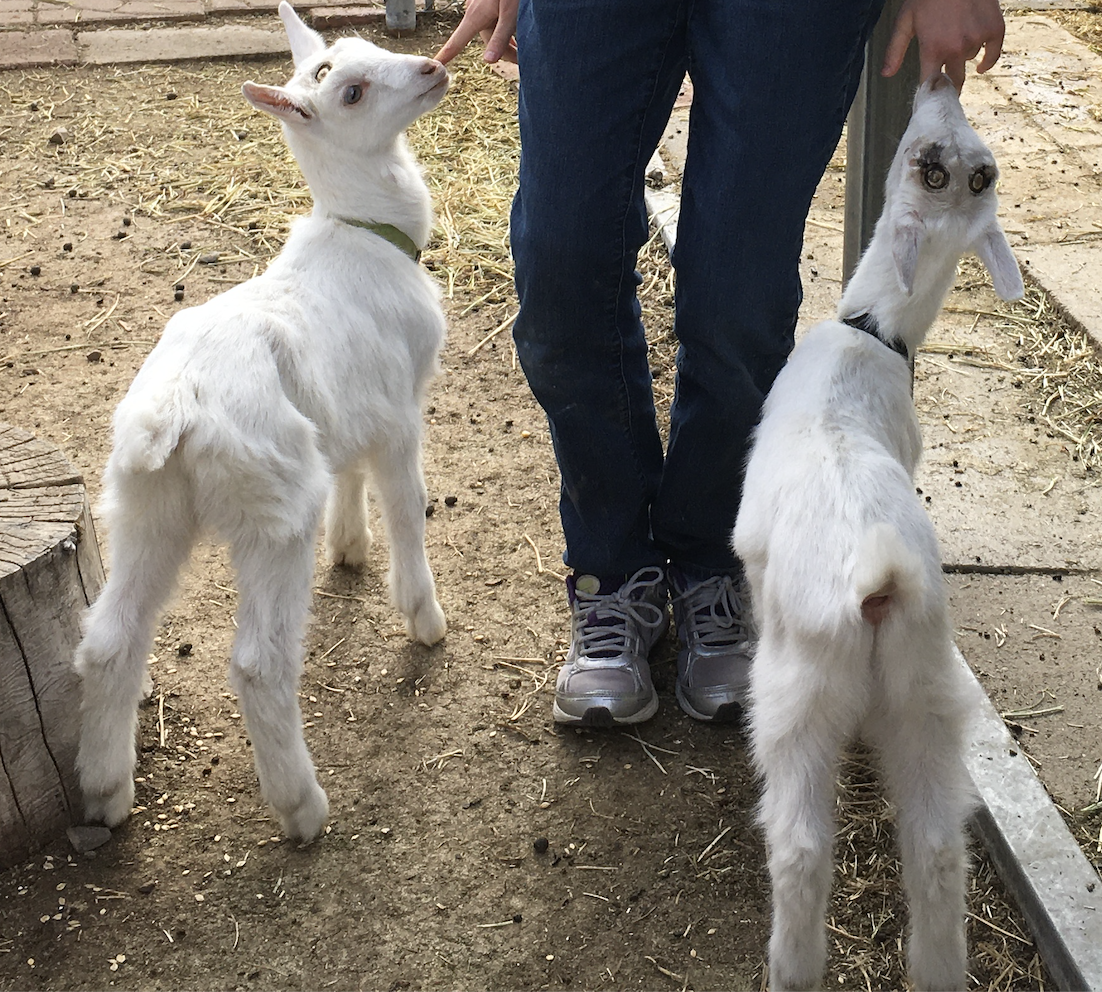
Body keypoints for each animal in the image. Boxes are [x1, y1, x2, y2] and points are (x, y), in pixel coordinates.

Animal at [73, 2, 450, 843]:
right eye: (349, 92)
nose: (434, 68)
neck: (367, 234)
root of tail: (173, 408)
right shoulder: (400, 409)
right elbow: (408, 506)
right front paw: (423, 617)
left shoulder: (349, 406)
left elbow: (348, 468)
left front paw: (350, 549)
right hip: (272, 512)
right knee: (258, 662)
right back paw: (302, 809)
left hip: (143, 505)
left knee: (109, 640)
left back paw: (107, 793)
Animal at [732, 73, 1024, 991]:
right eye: (965, 174)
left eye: (931, 166)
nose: (939, 78)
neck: (873, 334)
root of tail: (881, 573)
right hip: (927, 696)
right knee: (935, 848)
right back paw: (937, 971)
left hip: (796, 700)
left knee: (800, 850)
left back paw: (788, 968)